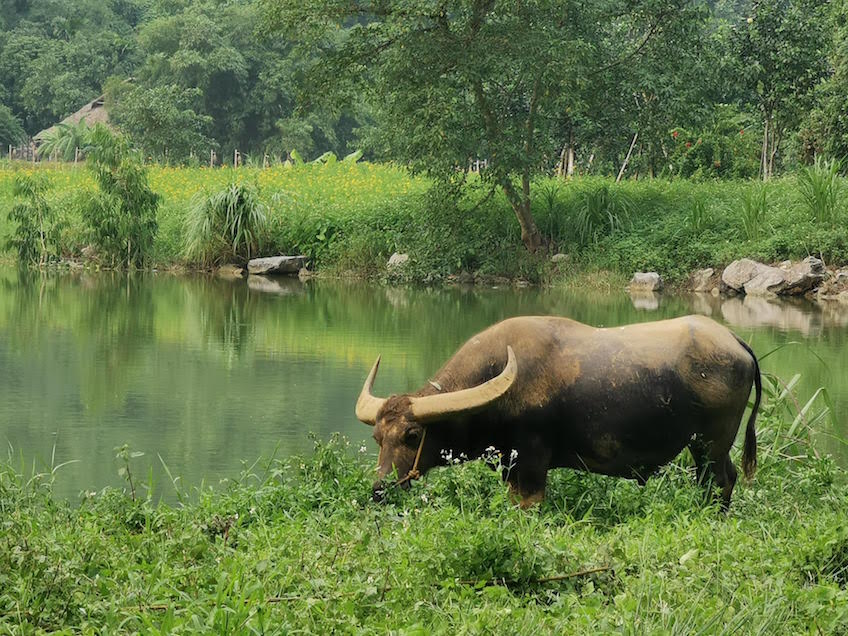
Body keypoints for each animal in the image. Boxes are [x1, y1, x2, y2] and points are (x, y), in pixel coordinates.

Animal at [358, 316, 760, 510]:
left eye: (412, 435)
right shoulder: (511, 468)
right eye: (377, 437)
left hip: (711, 442)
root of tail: (735, 340)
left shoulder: (532, 466)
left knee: (720, 480)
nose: (379, 489)